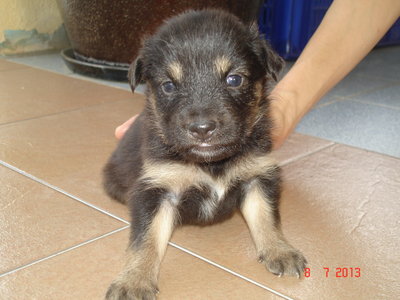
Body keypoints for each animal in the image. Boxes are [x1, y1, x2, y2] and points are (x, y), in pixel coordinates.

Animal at [103, 9, 306, 300]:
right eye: (168, 85)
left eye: (234, 79)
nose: (202, 129)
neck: (211, 163)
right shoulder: (155, 189)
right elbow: (146, 240)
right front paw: (134, 281)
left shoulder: (258, 175)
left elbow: (266, 217)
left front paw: (280, 250)